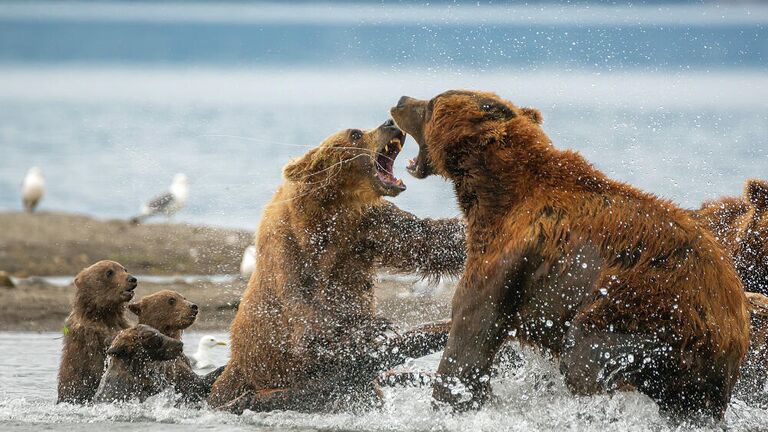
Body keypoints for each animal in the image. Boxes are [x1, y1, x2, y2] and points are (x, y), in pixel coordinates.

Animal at [57, 260, 136, 404]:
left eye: (124, 269)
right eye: (109, 272)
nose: (132, 279)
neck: (103, 314)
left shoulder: (120, 324)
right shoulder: (91, 339)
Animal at [207, 120, 464, 414]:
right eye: (356, 133)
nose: (390, 123)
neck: (331, 209)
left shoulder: (369, 227)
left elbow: (428, 238)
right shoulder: (288, 249)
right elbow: (306, 322)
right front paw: (372, 328)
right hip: (247, 374)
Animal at [392, 90, 748, 418]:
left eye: (431, 104)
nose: (401, 100)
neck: (494, 192)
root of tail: (734, 325)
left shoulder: (505, 255)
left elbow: (471, 330)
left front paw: (450, 400)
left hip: (646, 309)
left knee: (585, 359)